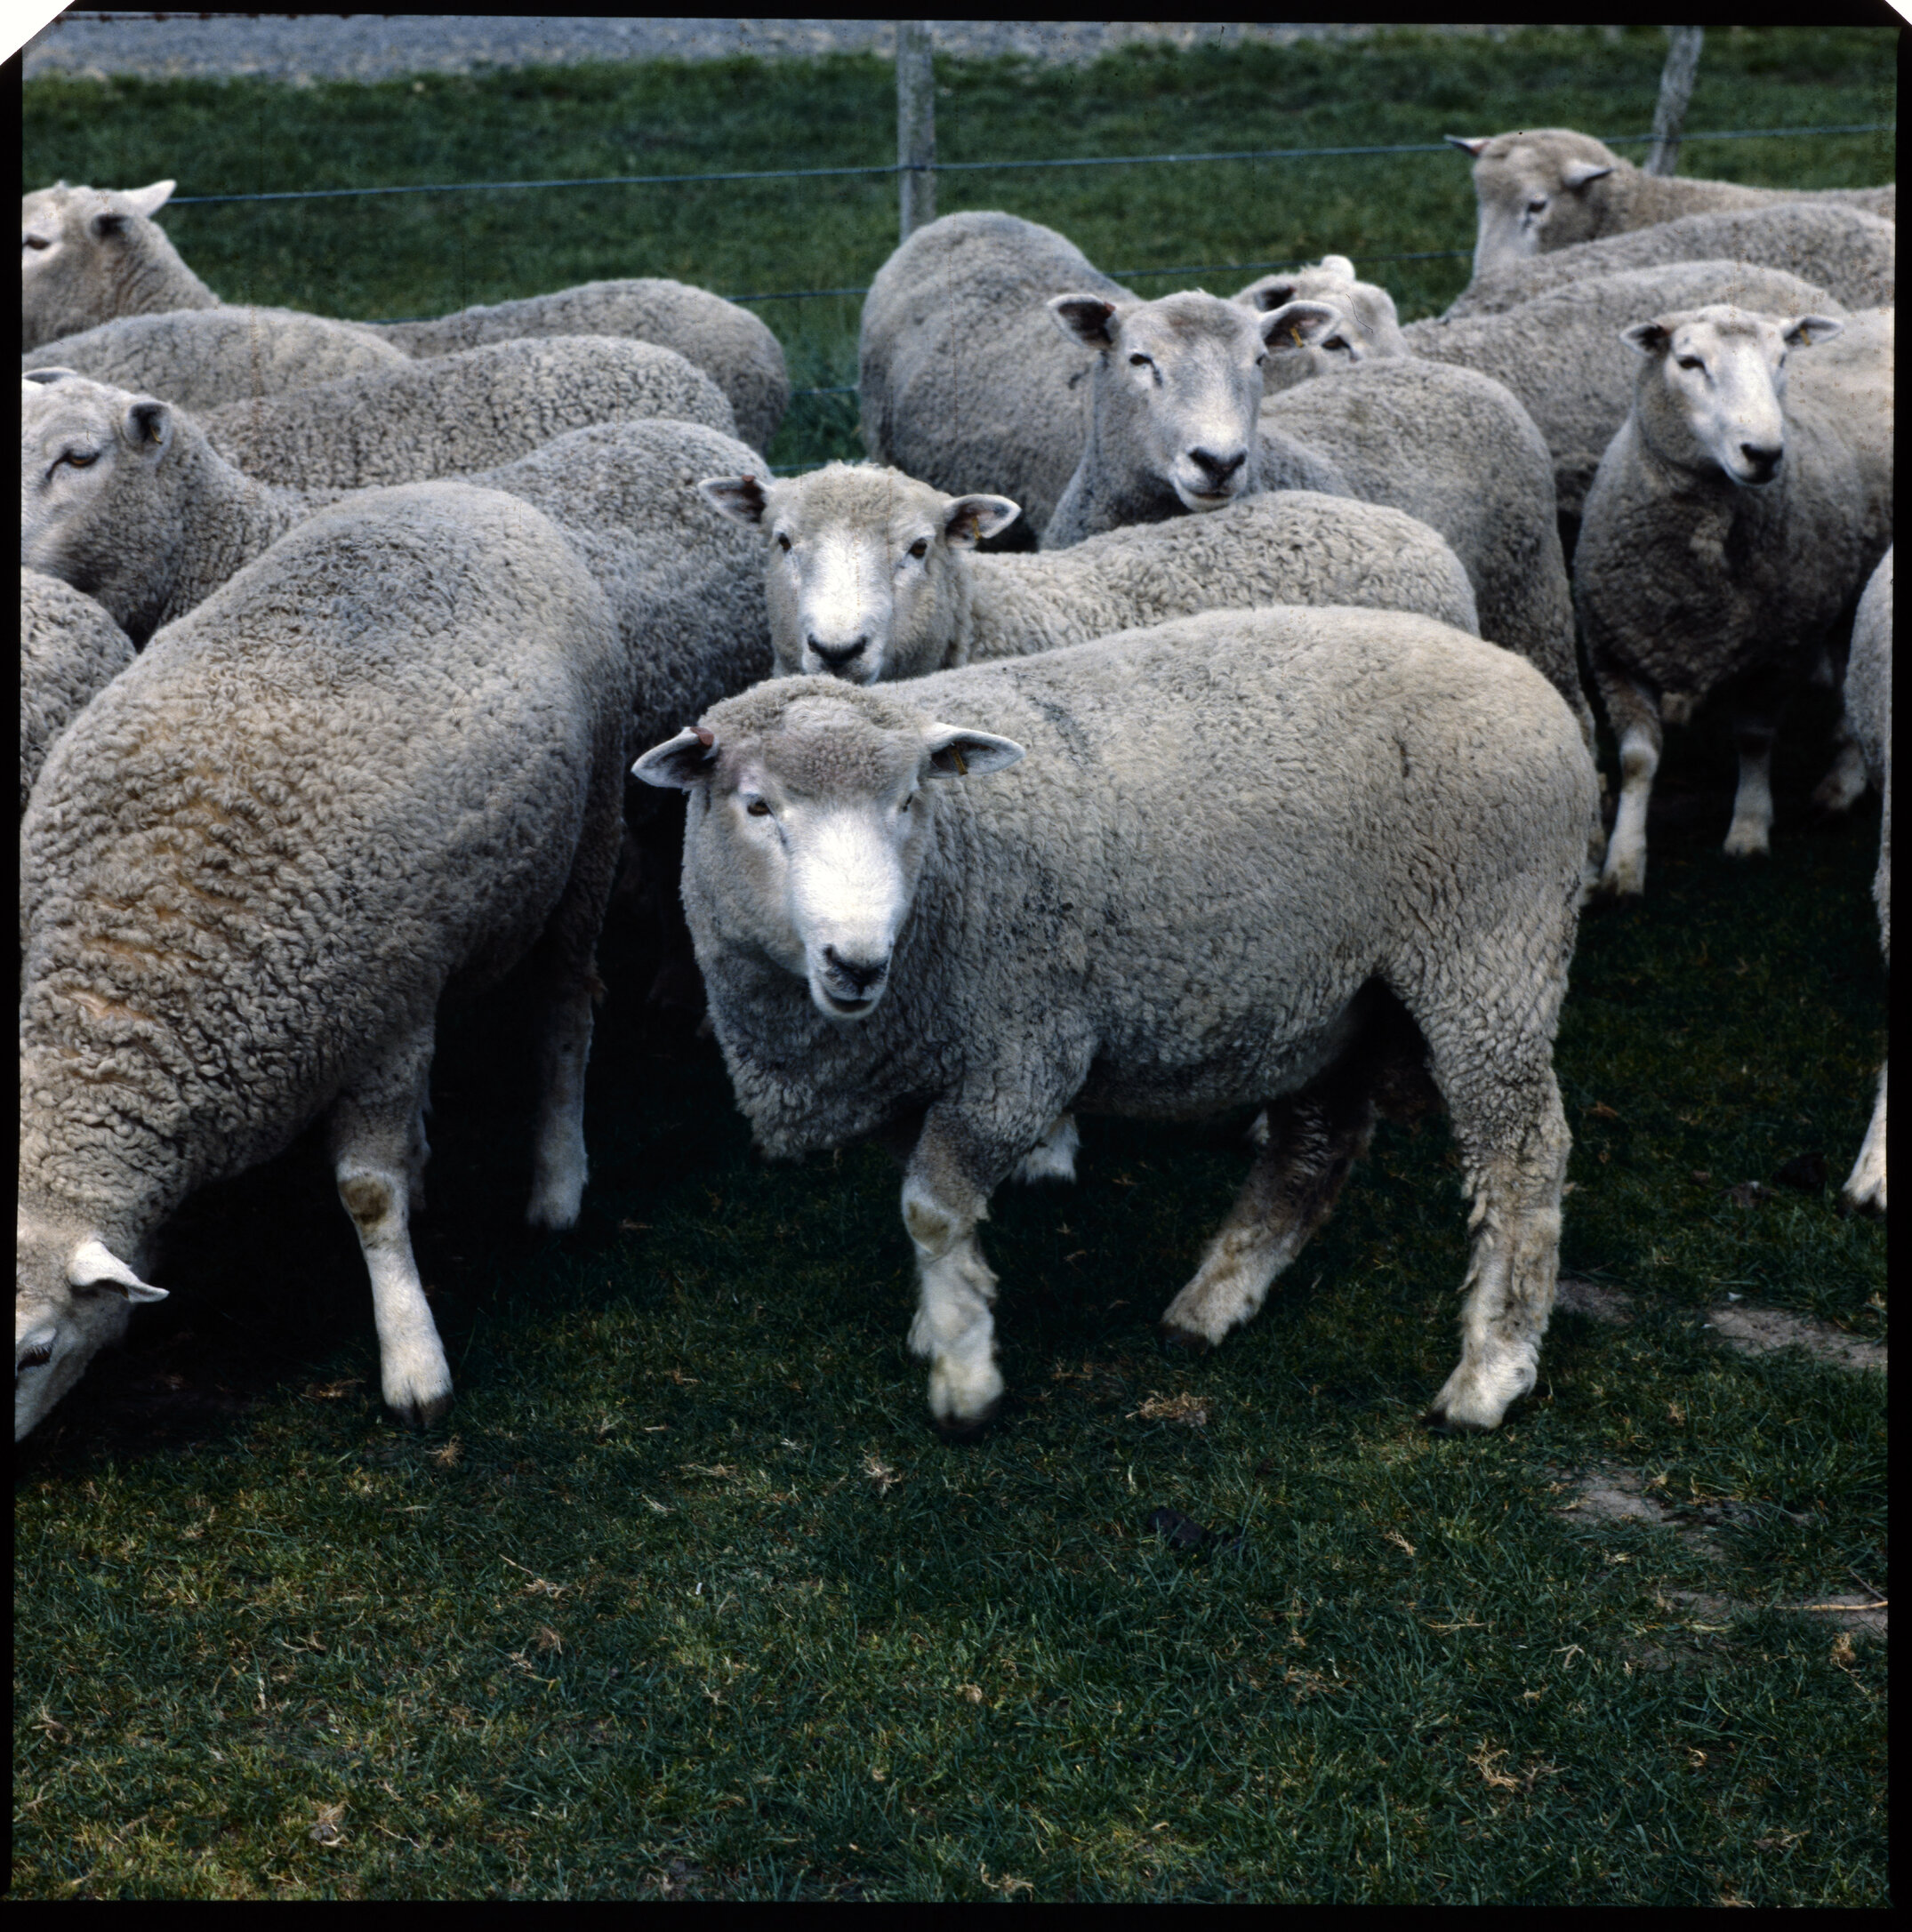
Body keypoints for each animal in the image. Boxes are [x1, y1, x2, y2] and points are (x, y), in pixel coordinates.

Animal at [634, 606, 1597, 1435]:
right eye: (757, 805)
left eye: (908, 801)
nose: (857, 961)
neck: (955, 862)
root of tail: (1527, 680)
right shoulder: (905, 1073)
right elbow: (929, 1215)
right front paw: (942, 1317)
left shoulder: (1021, 1058)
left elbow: (933, 1213)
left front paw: (965, 1375)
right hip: (1330, 992)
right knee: (1316, 1145)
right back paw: (1214, 1301)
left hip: (1488, 951)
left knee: (1522, 1152)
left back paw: (1489, 1371)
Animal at [1576, 306, 1893, 899]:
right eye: (1688, 362)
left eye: (1783, 358)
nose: (1764, 454)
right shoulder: (1616, 651)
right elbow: (1637, 760)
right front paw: (1623, 863)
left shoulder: (1778, 650)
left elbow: (1752, 739)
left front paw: (1748, 829)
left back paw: (1839, 788)